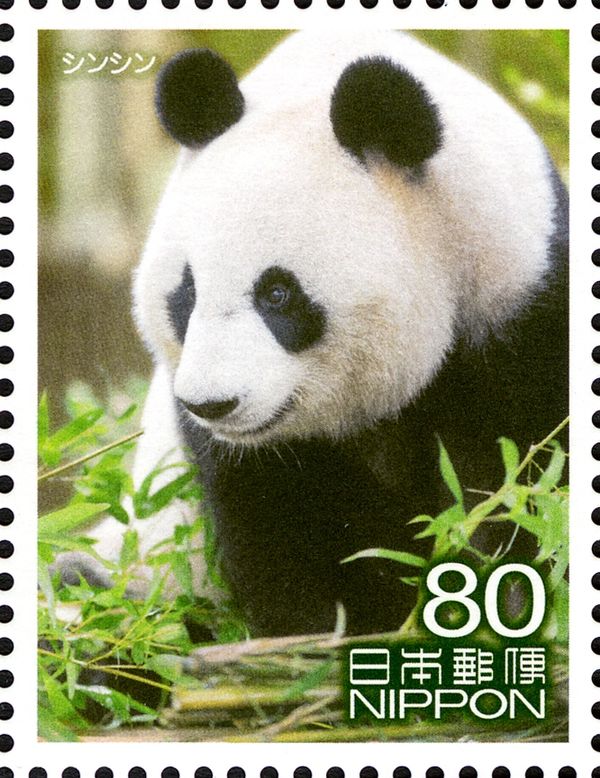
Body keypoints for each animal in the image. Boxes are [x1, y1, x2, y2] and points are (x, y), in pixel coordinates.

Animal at [92, 31, 568, 638]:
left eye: (277, 293)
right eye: (188, 292)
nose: (212, 404)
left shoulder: (522, 309)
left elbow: (521, 485)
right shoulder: (241, 453)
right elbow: (285, 538)